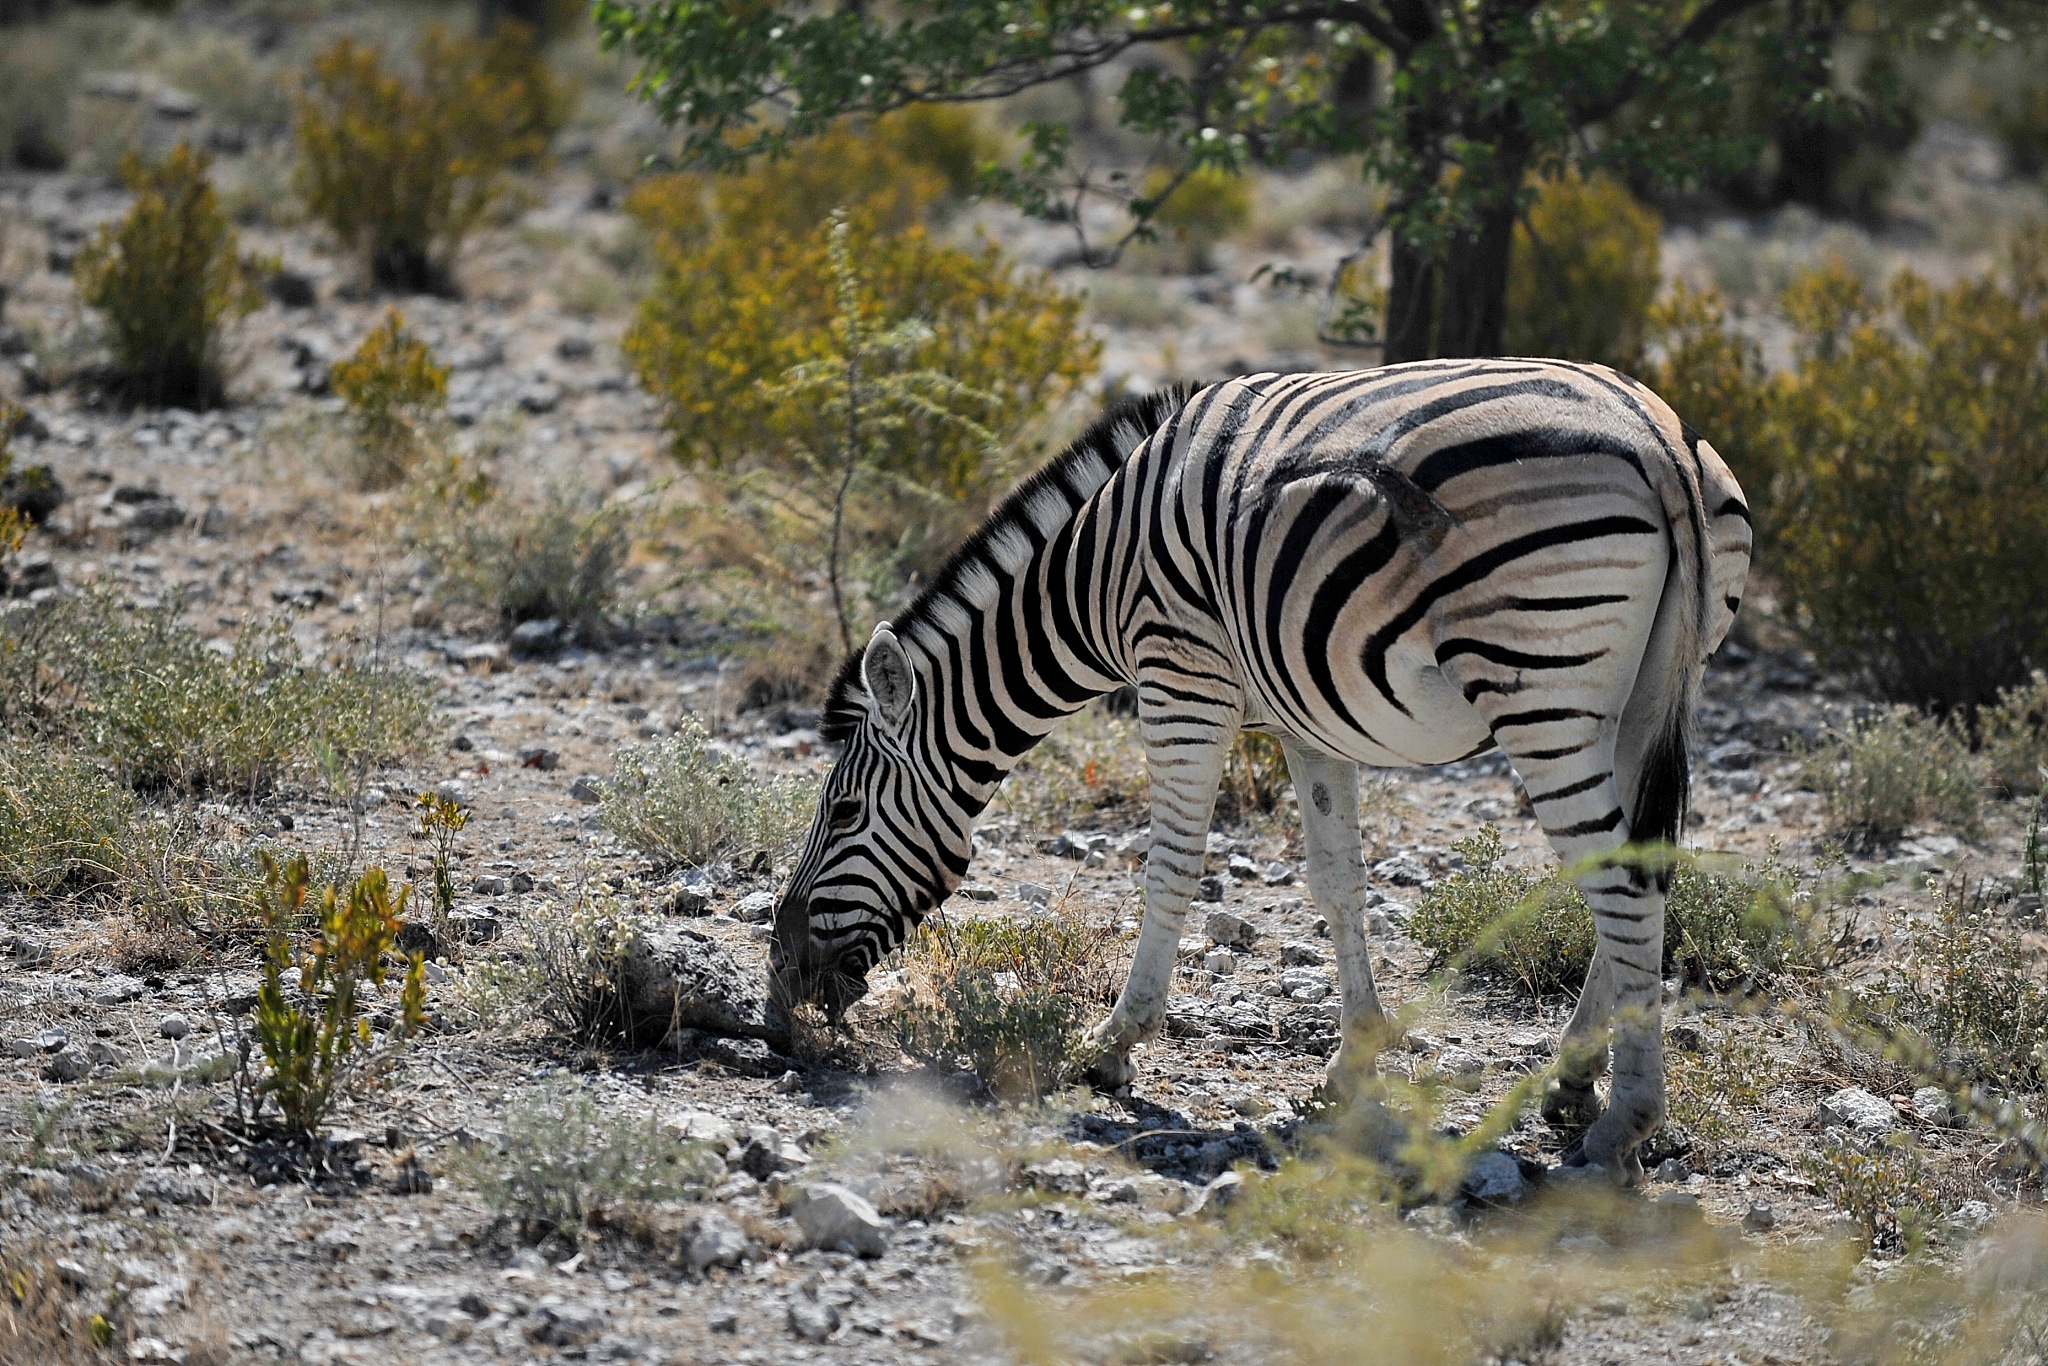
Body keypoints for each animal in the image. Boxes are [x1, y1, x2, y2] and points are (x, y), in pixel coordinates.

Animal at [770, 359, 1752, 1178]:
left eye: (846, 813)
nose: (782, 987)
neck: (1091, 573)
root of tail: (1656, 437)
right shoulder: (1312, 720)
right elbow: (1338, 882)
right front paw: (1352, 1065)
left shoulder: (1180, 679)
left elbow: (1170, 868)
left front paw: (1113, 1044)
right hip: (1638, 696)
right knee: (1643, 871)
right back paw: (1571, 1086)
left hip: (1539, 686)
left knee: (1620, 884)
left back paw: (1623, 1122)